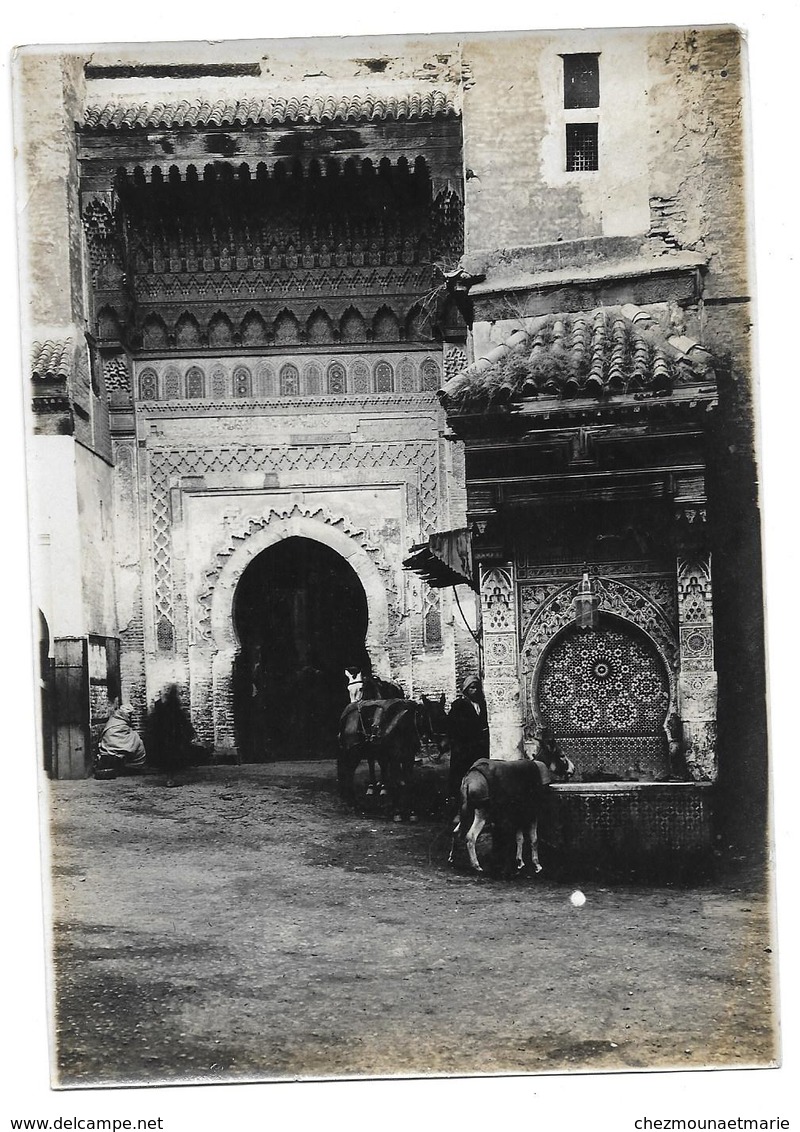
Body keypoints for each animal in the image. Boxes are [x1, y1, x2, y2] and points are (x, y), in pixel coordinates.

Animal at [450, 738, 574, 878]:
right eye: (562, 755)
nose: (573, 769)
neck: (539, 768)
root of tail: (470, 777)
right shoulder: (532, 812)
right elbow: (534, 839)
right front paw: (537, 866)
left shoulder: (519, 813)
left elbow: (520, 839)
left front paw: (520, 863)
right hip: (482, 812)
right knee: (470, 837)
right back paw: (476, 866)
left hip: (468, 810)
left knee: (456, 831)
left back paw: (452, 859)